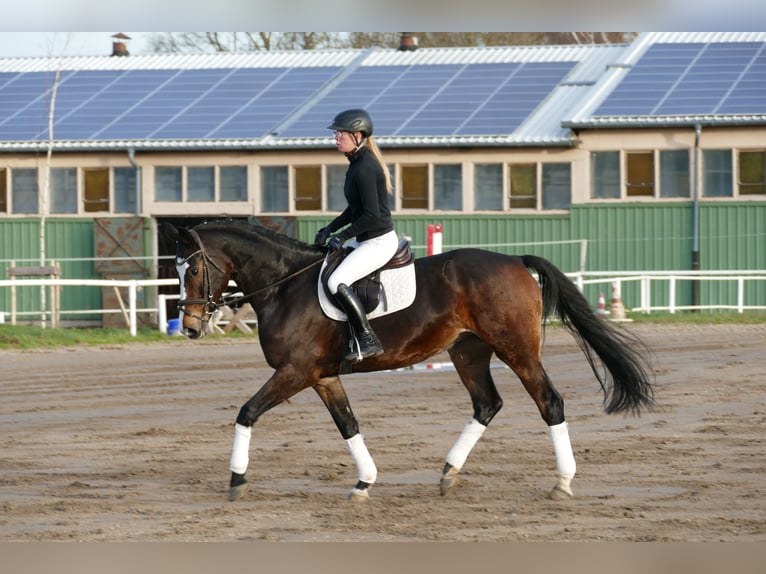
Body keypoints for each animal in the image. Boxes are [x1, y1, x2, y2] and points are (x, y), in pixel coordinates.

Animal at [166, 220, 655, 503]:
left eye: (194, 269)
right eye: (177, 270)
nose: (188, 326)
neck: (287, 286)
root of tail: (515, 261)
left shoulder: (296, 372)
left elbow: (246, 412)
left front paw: (236, 480)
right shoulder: (322, 376)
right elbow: (348, 424)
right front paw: (364, 482)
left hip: (517, 349)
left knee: (549, 403)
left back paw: (563, 483)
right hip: (468, 352)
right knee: (487, 404)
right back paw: (449, 473)